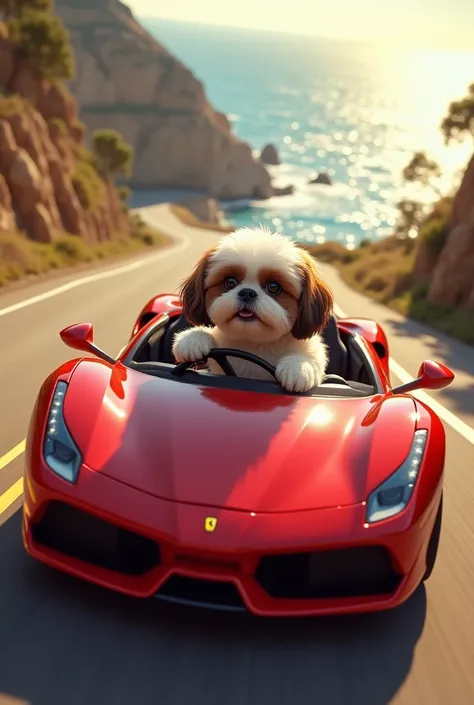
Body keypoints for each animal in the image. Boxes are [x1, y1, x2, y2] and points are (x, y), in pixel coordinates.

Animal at [171, 226, 334, 390]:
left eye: (273, 286)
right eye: (230, 281)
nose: (247, 293)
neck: (254, 344)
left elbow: (313, 357)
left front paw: (297, 366)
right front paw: (193, 338)